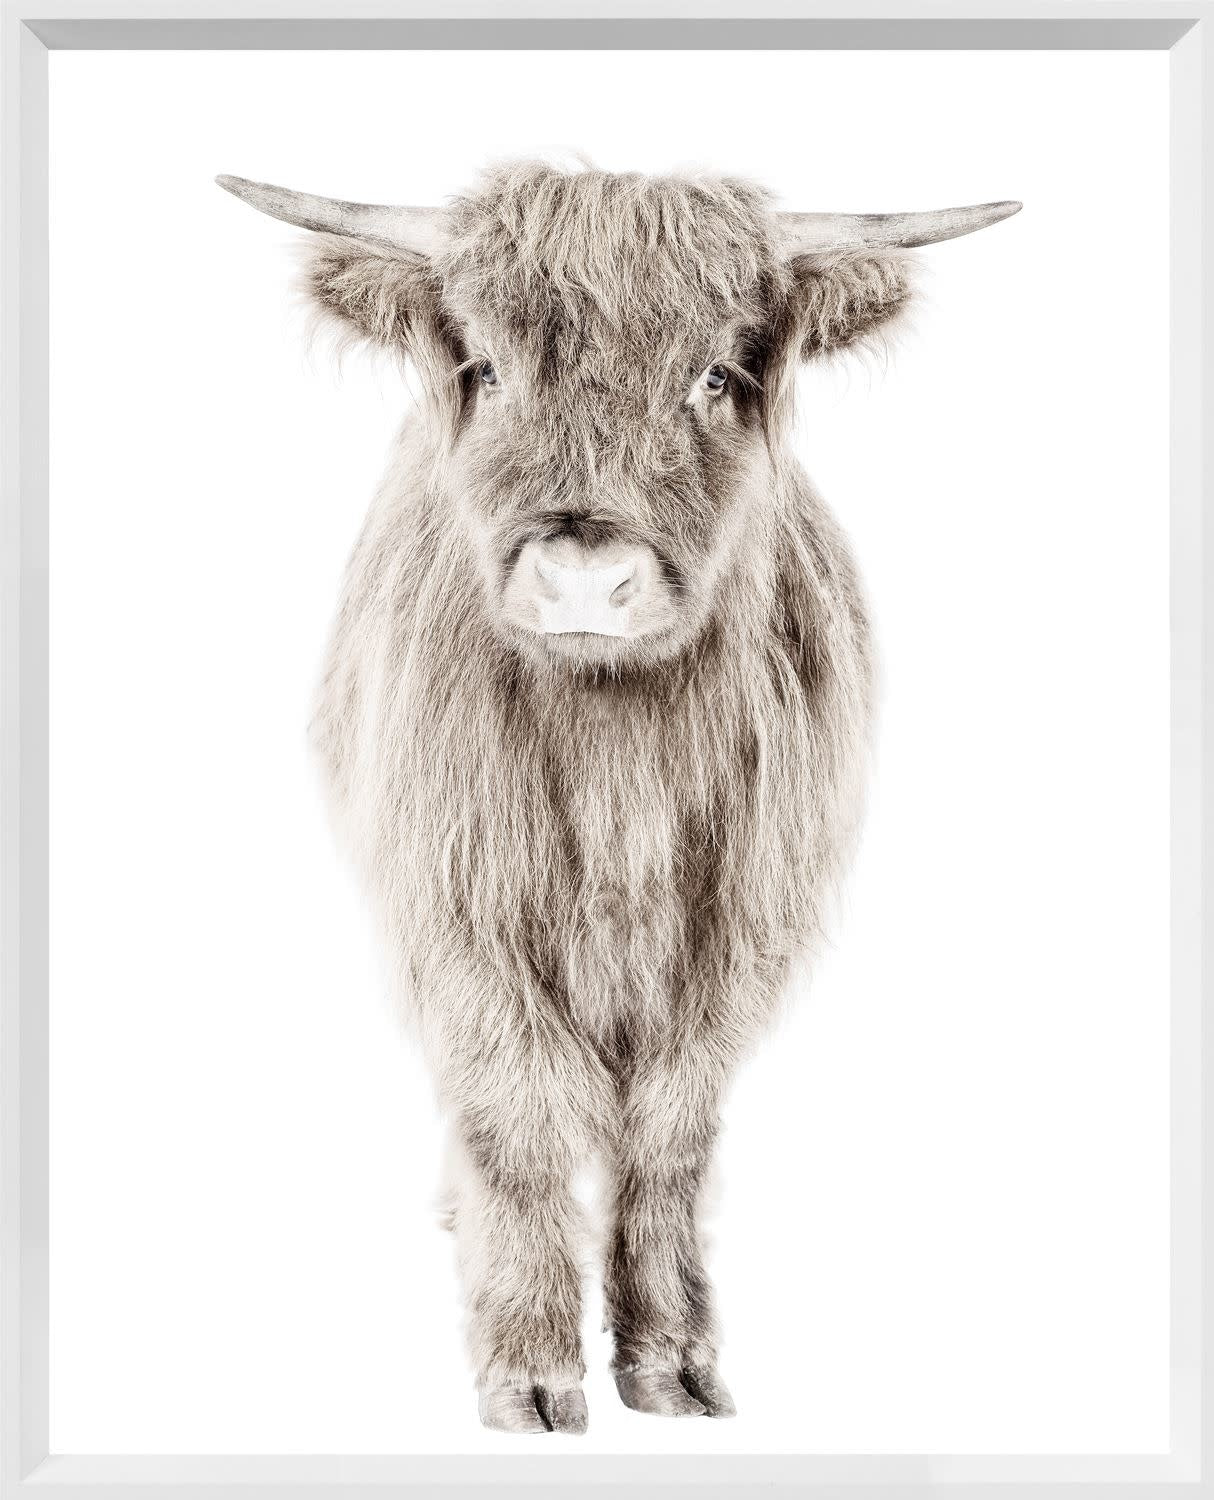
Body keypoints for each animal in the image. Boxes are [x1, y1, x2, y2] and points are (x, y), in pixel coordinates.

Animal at [218, 162, 1018, 1434]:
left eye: (715, 375)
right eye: (487, 368)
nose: (584, 577)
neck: (614, 757)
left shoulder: (737, 929)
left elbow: (670, 1134)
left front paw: (671, 1361)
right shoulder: (459, 911)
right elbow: (515, 1115)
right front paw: (529, 1369)